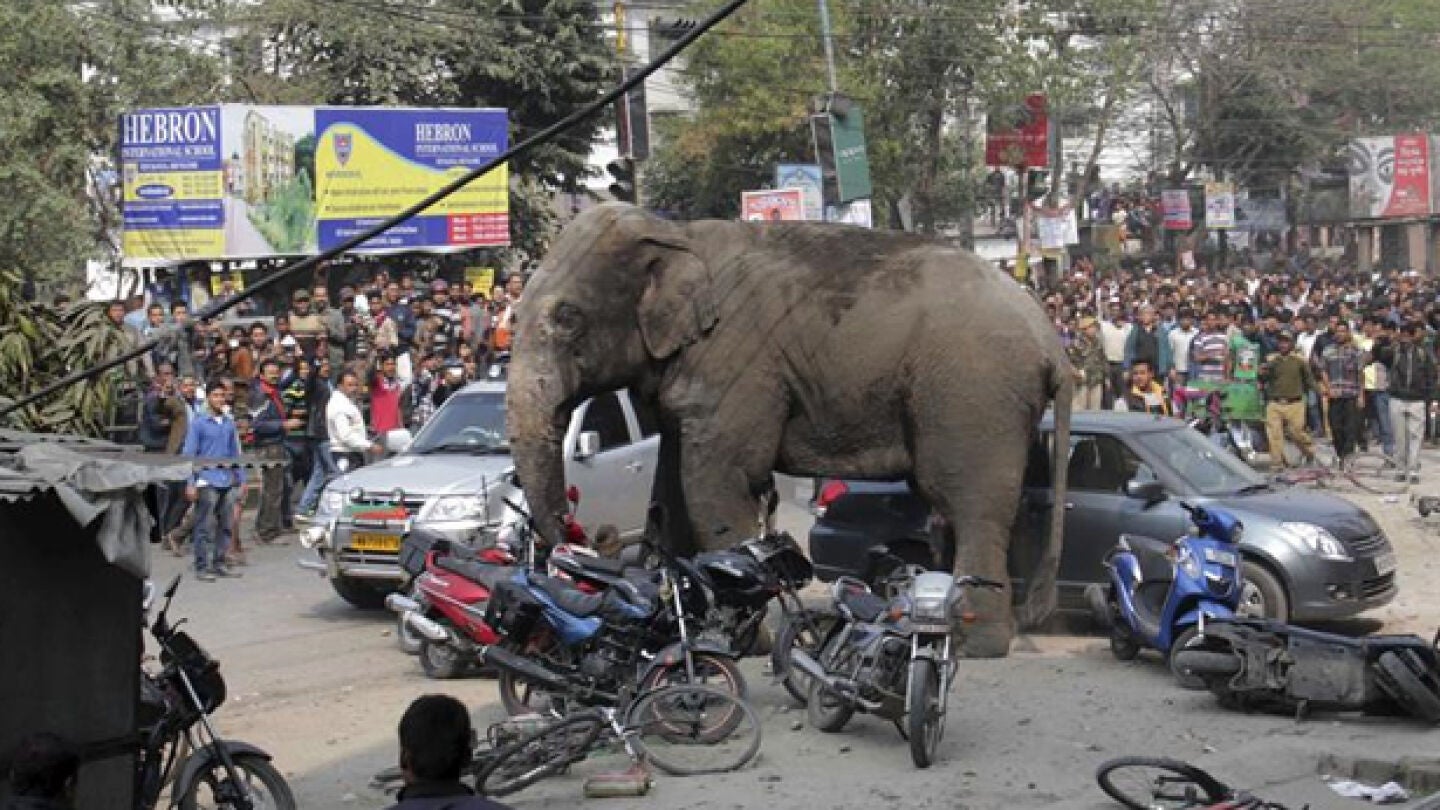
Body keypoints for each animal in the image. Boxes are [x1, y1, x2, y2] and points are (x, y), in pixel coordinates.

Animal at [506, 203, 1072, 657]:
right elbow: (671, 486)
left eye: (568, 317)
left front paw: (739, 640)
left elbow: (720, 480)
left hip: (974, 394)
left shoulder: (736, 365)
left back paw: (975, 642)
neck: (674, 233)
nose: (586, 537)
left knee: (969, 502)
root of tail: (1051, 340)